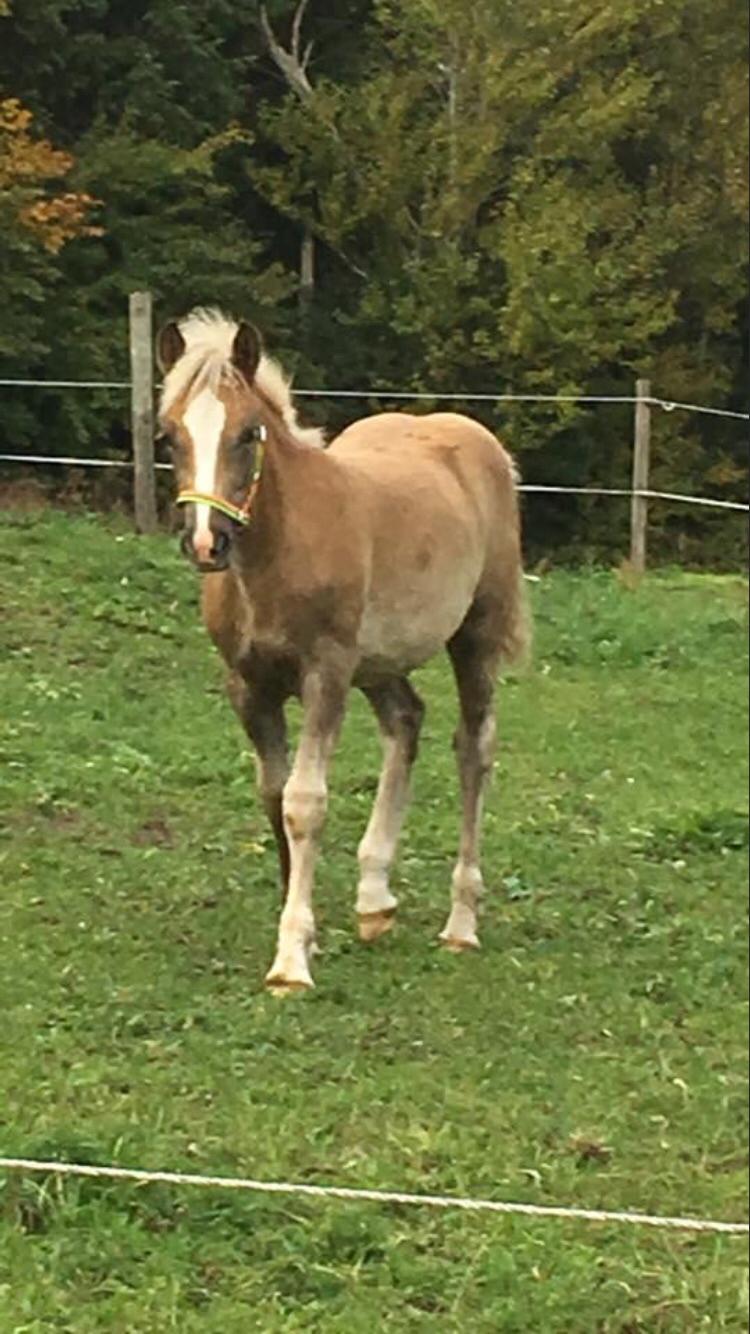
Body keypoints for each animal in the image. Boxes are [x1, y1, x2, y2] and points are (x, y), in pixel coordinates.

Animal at [155, 305, 525, 992]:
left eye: (248, 433)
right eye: (169, 436)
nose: (206, 542)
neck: (276, 553)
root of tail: (478, 441)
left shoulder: (324, 673)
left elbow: (305, 803)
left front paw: (290, 961)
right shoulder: (249, 687)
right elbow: (273, 797)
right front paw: (307, 932)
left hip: (473, 637)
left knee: (474, 748)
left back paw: (461, 923)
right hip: (377, 662)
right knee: (406, 721)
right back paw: (374, 899)